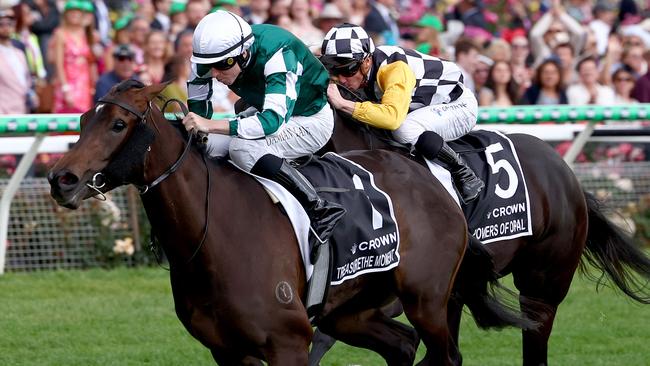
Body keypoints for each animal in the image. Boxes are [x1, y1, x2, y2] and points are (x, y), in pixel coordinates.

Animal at [48, 81, 474, 364]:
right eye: (83, 120)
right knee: (402, 344)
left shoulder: (288, 343)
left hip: (426, 299)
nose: (61, 179)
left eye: (118, 124)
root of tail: (424, 173)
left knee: (446, 355)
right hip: (351, 310)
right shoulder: (228, 351)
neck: (213, 233)